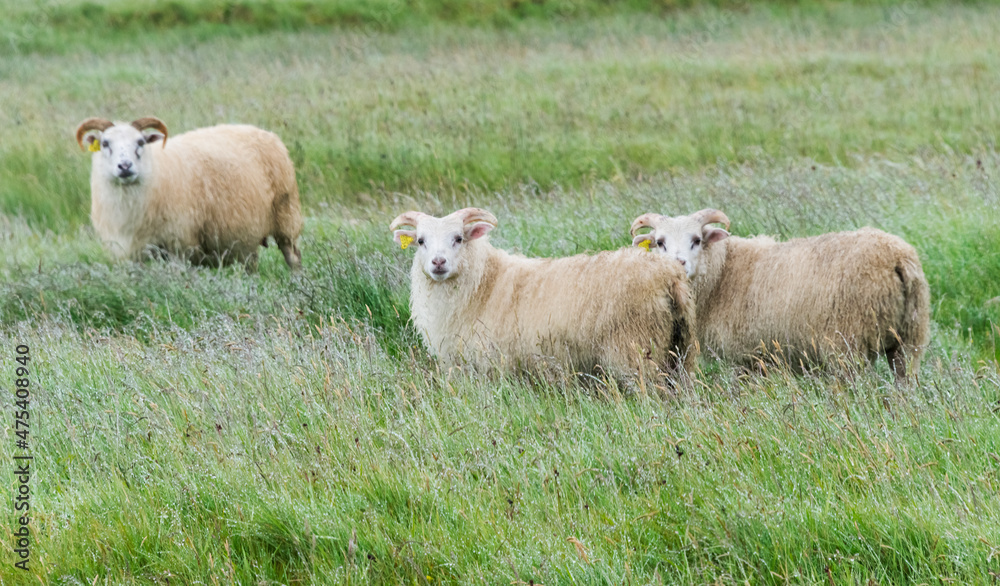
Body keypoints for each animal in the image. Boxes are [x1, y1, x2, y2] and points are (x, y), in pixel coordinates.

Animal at [75, 117, 300, 272]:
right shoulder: (130, 253)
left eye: (140, 142)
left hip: (286, 217)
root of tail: (264, 131)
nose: (125, 166)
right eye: (105, 143)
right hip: (245, 239)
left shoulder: (180, 246)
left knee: (293, 256)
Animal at [386, 206, 700, 384]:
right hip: (680, 352)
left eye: (458, 238)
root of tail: (668, 274)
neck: (483, 284)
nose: (438, 263)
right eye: (421, 241)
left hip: (637, 352)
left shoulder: (489, 367)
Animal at [628, 209, 932, 378]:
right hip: (909, 338)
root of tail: (897, 257)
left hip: (849, 343)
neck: (723, 273)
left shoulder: (746, 356)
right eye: (659, 242)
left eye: (697, 240)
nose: (678, 263)